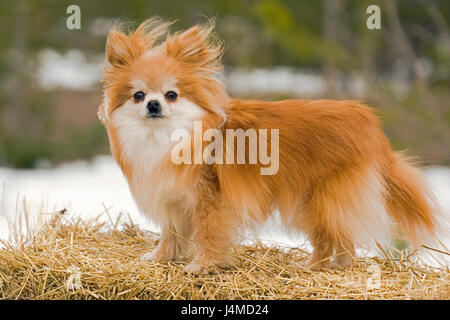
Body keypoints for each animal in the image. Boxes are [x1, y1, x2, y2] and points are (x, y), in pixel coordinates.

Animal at [96, 18, 444, 272]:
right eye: (138, 95)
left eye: (171, 95)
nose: (153, 104)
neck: (166, 138)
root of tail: (370, 125)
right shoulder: (172, 200)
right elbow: (171, 234)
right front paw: (161, 258)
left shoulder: (209, 200)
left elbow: (207, 234)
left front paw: (201, 266)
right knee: (341, 237)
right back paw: (335, 266)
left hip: (317, 200)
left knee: (329, 237)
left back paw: (315, 266)